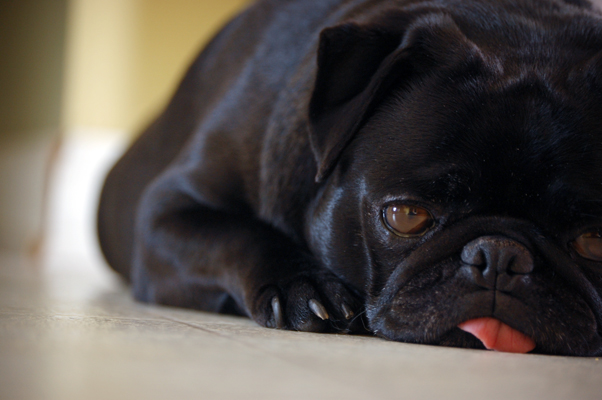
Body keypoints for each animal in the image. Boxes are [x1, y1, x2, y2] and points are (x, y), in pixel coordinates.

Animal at [96, 0, 600, 356]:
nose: (499, 256)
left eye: (595, 241)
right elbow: (236, 236)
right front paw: (302, 284)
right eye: (407, 215)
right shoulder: (166, 215)